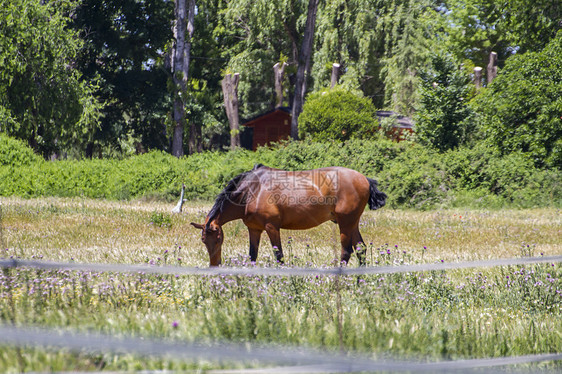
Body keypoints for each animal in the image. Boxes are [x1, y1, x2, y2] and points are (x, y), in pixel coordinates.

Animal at [189, 164, 384, 266]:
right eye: (204, 241)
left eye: (218, 239)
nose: (214, 265)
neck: (252, 190)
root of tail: (365, 179)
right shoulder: (254, 229)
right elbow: (252, 256)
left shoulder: (272, 227)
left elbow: (279, 257)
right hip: (352, 224)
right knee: (361, 250)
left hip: (345, 224)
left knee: (347, 252)